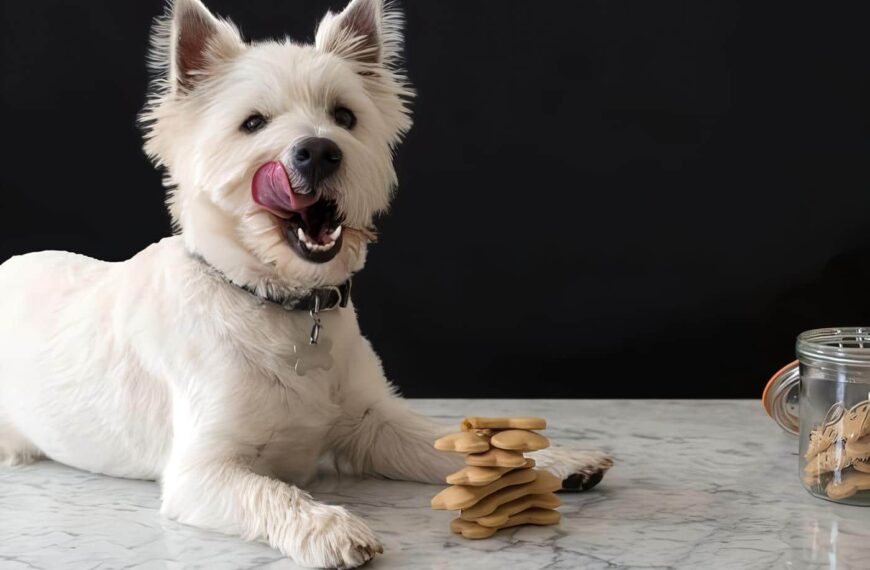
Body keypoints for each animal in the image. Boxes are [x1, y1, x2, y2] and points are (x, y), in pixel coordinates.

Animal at [0, 2, 612, 564]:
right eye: (252, 123)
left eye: (344, 116)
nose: (318, 150)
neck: (282, 302)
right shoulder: (203, 471)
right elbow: (271, 492)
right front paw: (330, 527)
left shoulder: (373, 422)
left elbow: (452, 440)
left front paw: (552, 462)